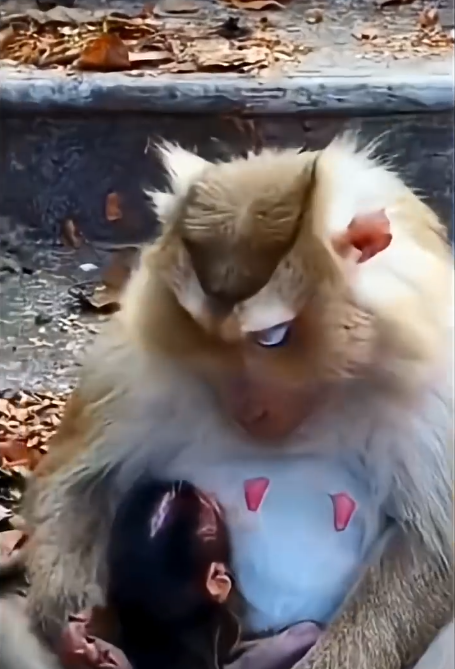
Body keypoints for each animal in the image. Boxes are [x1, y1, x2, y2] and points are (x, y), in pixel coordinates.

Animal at [15, 135, 454, 669]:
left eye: (273, 336)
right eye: (201, 330)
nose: (249, 412)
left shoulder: (436, 389)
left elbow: (432, 544)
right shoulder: (142, 357)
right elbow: (81, 479)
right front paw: (76, 633)